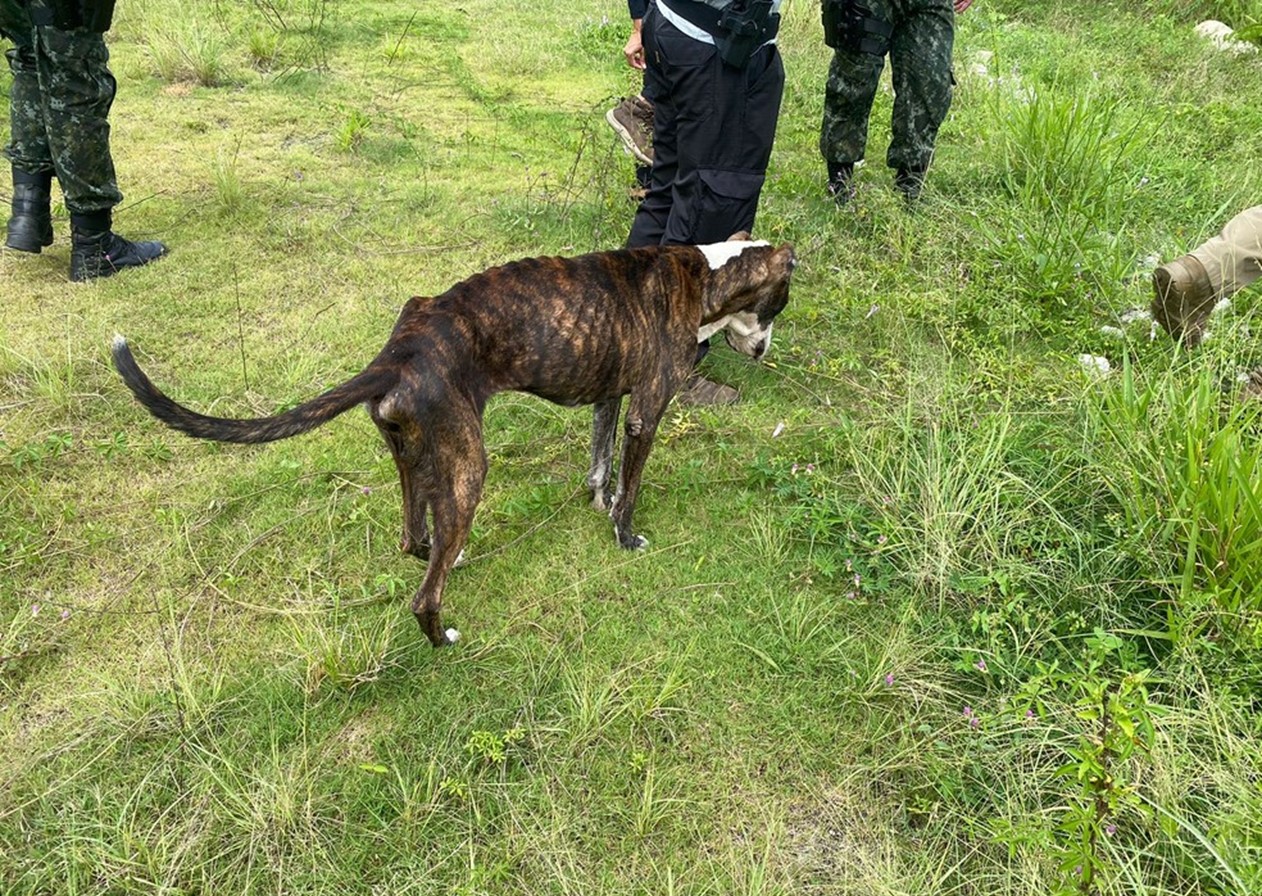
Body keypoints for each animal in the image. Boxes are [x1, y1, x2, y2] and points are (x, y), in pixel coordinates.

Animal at [113, 238, 792, 646]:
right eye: (777, 307)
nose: (763, 353)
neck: (706, 271)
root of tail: (400, 352)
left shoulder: (607, 399)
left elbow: (600, 467)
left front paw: (598, 503)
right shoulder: (644, 414)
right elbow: (630, 487)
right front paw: (625, 534)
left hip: (415, 458)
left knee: (416, 538)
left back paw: (448, 554)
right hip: (470, 467)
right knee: (423, 594)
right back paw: (442, 638)